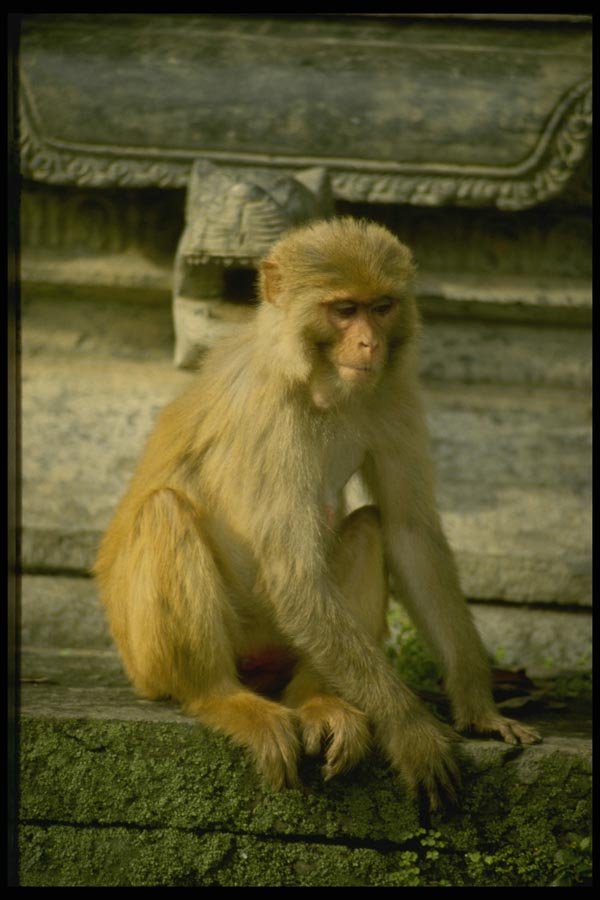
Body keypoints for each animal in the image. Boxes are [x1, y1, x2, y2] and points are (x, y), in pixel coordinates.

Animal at [94, 217, 540, 808]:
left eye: (381, 306)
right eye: (344, 310)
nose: (369, 343)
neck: (313, 378)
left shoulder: (392, 389)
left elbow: (409, 532)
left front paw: (478, 706)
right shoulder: (274, 417)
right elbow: (295, 577)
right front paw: (412, 731)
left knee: (370, 528)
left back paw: (316, 701)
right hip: (149, 659)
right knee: (165, 512)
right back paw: (223, 699)